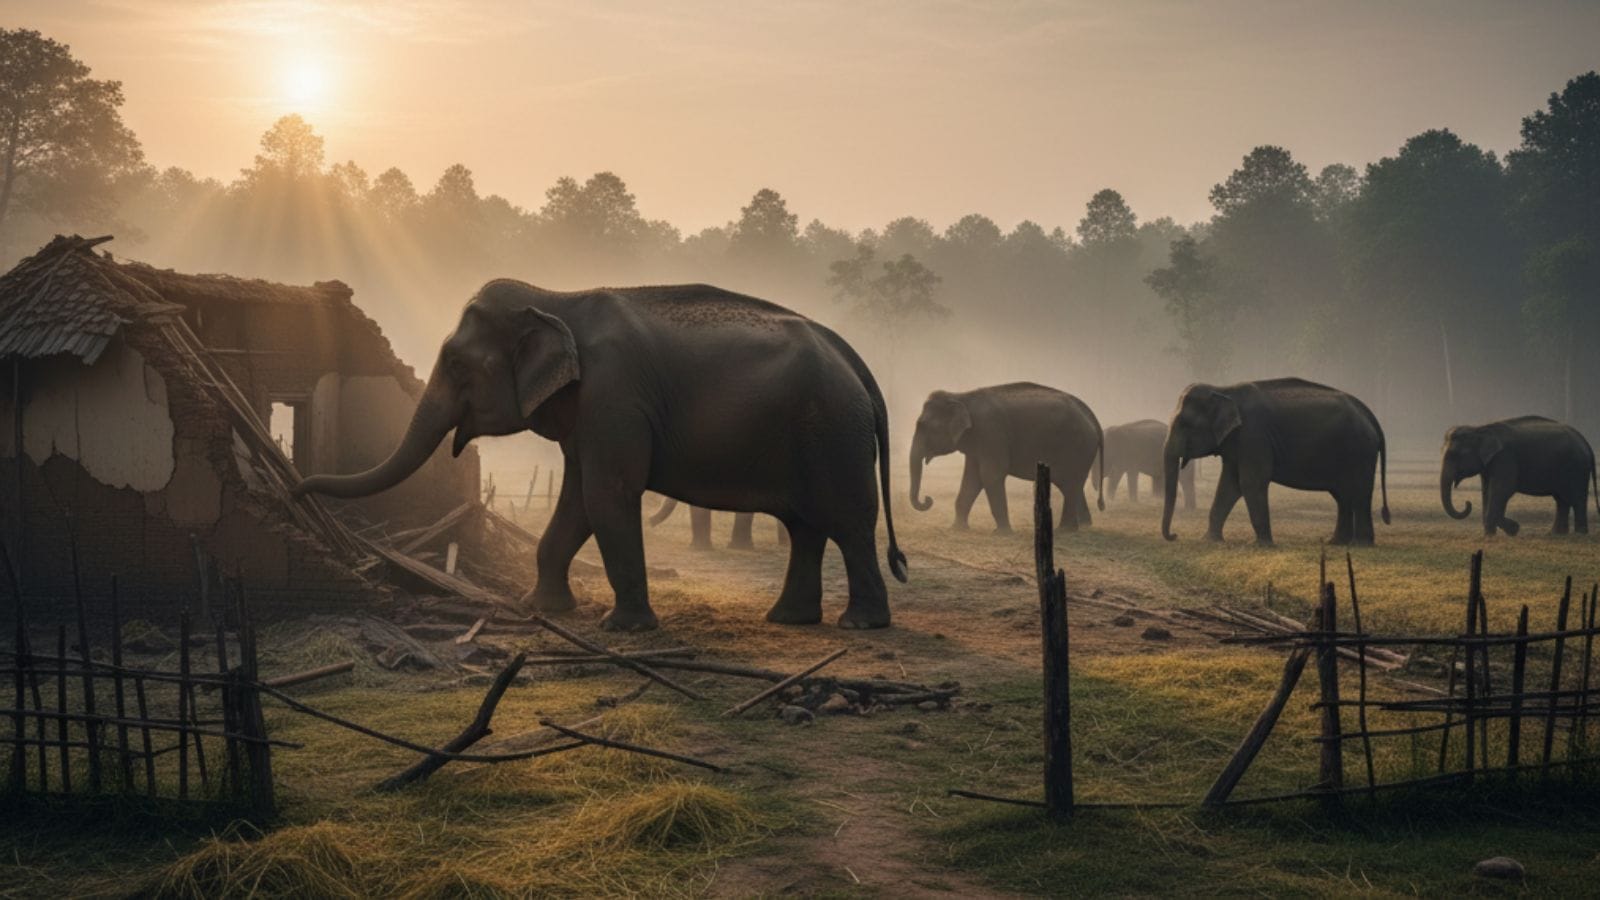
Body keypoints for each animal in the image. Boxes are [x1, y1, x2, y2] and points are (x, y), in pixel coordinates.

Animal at [909, 383, 1104, 533]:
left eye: (924, 426)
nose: (927, 499)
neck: (961, 396)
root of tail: (1092, 416)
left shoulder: (991, 432)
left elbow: (990, 475)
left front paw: (1001, 533)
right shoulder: (977, 443)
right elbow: (972, 479)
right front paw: (957, 529)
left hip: (1077, 447)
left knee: (1070, 485)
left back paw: (1064, 530)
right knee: (1072, 485)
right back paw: (1080, 526)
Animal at [1160, 378, 1390, 546]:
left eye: (1185, 424)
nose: (1175, 535)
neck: (1224, 390)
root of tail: (1369, 415)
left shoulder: (1253, 435)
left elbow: (1251, 482)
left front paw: (1260, 545)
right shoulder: (1237, 443)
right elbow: (1229, 485)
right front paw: (1210, 540)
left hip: (1360, 451)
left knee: (1359, 492)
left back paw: (1361, 544)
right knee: (1342, 495)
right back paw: (1336, 543)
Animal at [1439, 416, 1599, 536]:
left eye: (1454, 455)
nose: (1467, 503)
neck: (1480, 429)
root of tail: (1586, 442)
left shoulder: (1505, 458)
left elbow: (1502, 490)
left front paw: (1512, 529)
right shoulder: (1489, 464)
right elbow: (1487, 491)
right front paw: (1492, 534)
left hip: (1577, 468)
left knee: (1577, 499)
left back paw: (1579, 534)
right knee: (1562, 499)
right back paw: (1556, 534)